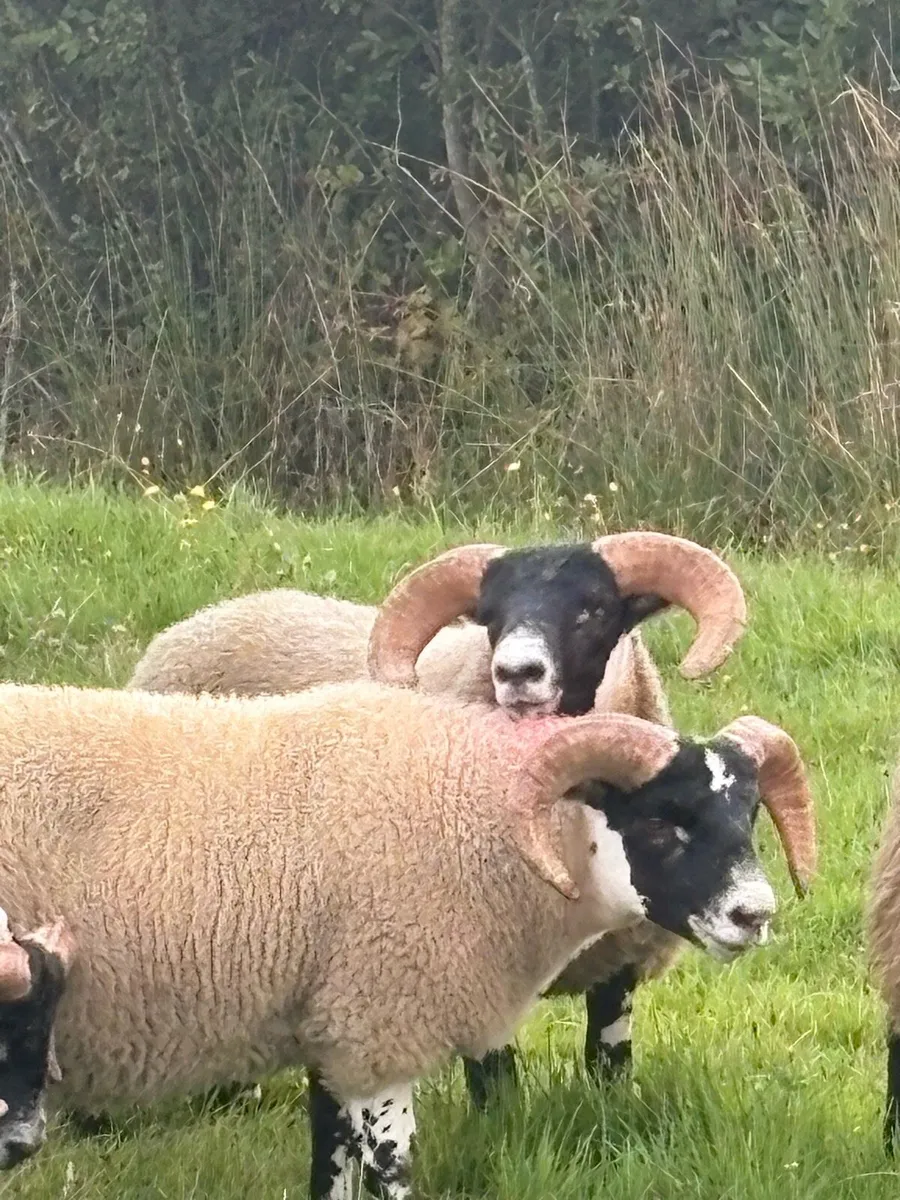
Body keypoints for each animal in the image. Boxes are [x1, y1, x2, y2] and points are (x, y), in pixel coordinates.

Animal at [0, 681, 814, 1198]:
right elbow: (391, 1166)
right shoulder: (385, 1018)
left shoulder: (335, 1026)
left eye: (747, 816)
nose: (754, 914)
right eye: (660, 822)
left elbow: (330, 1165)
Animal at [127, 533, 748, 1101]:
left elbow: (609, 1065)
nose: (515, 672)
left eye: (593, 607)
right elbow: (495, 1080)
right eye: (491, 617)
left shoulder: (620, 957)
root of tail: (214, 613)